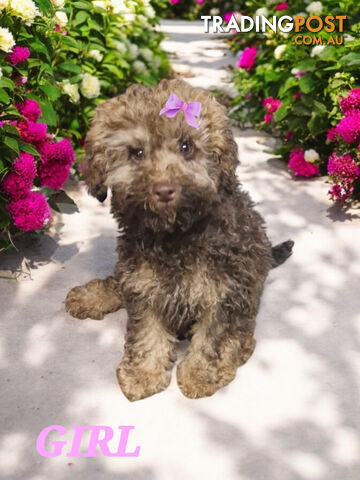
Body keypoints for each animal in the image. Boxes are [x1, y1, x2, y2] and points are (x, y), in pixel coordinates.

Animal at [65, 79, 292, 402]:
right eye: (136, 152)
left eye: (187, 146)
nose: (163, 189)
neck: (176, 233)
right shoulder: (144, 282)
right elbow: (146, 330)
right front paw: (144, 373)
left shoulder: (224, 290)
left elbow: (213, 336)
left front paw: (200, 374)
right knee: (118, 282)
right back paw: (91, 296)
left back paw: (241, 347)